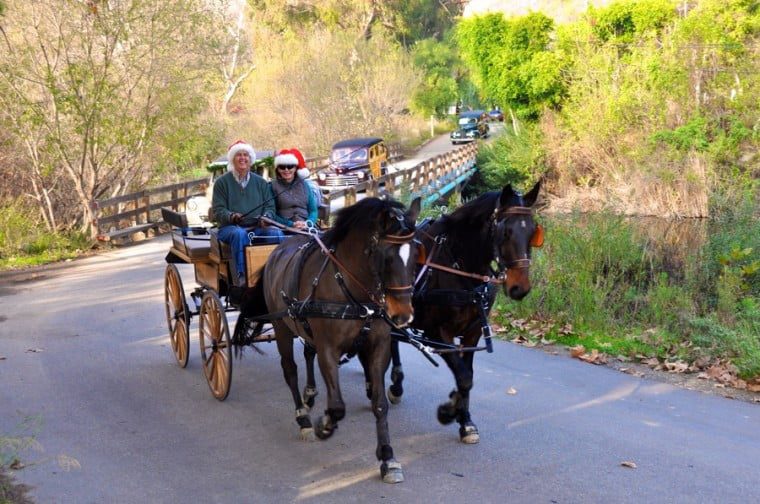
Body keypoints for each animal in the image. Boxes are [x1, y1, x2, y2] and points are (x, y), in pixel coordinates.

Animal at [240, 197, 422, 484]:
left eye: (415, 254)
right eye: (387, 257)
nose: (403, 315)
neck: (351, 288)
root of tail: (276, 252)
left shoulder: (378, 346)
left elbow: (380, 405)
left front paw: (387, 456)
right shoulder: (329, 349)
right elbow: (336, 406)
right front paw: (324, 425)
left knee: (307, 354)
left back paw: (310, 394)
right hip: (281, 326)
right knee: (290, 370)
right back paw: (303, 417)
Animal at [388, 181, 544, 444]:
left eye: (533, 232)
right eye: (505, 232)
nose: (519, 288)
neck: (457, 263)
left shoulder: (473, 332)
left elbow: (467, 375)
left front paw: (465, 420)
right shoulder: (437, 333)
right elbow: (463, 376)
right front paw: (448, 411)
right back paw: (395, 384)